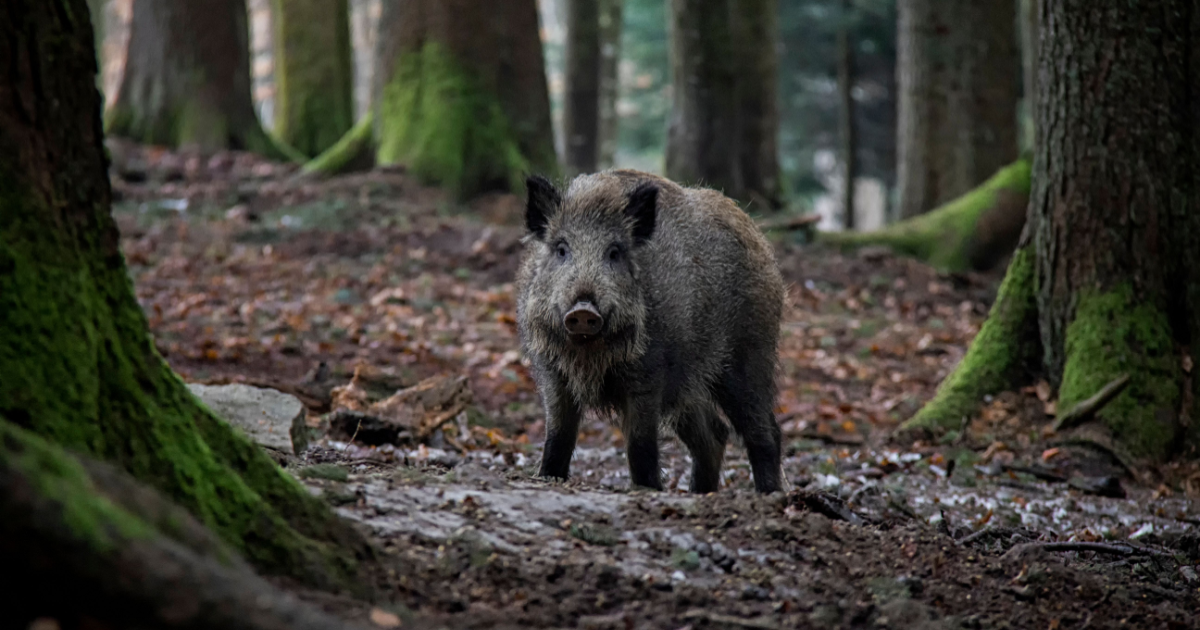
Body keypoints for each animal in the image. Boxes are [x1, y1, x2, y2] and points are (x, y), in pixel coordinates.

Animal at [516, 169, 785, 494]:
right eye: (561, 249)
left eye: (615, 252)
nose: (583, 310)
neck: (589, 354)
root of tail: (760, 240)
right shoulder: (552, 370)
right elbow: (558, 433)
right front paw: (547, 478)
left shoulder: (649, 374)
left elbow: (640, 443)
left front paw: (647, 489)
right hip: (688, 384)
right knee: (714, 433)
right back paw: (699, 493)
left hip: (748, 355)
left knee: (764, 431)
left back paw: (769, 494)